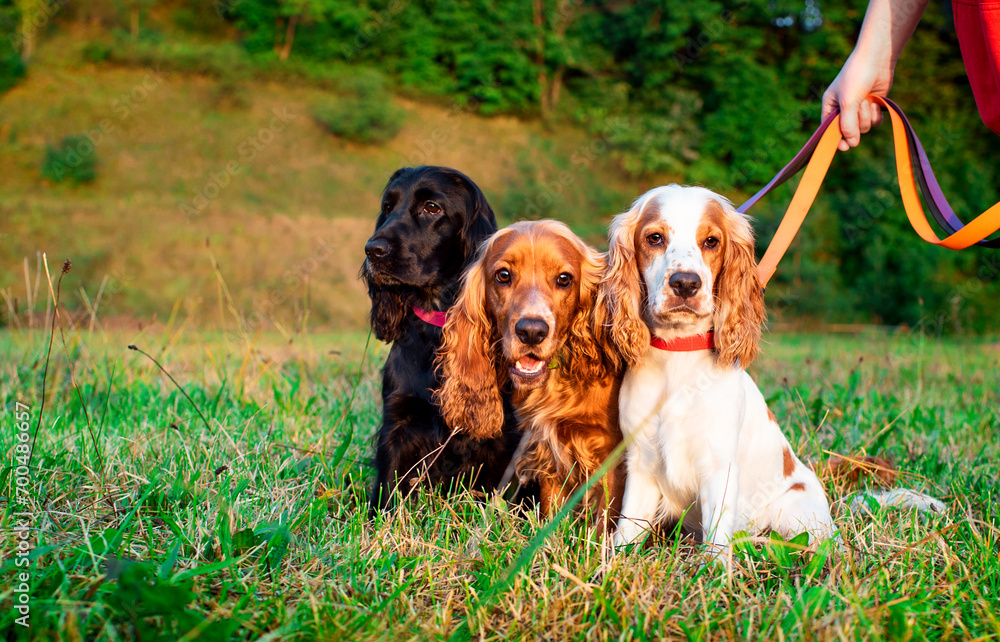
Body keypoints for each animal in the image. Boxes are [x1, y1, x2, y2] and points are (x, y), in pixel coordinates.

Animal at [364, 166, 528, 516]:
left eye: (432, 208)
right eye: (388, 207)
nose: (373, 250)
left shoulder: (501, 434)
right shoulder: (398, 422)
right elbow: (387, 489)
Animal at [600, 184, 836, 552]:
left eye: (711, 241)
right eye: (655, 238)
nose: (685, 283)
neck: (678, 355)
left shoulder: (718, 467)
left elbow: (716, 544)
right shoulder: (642, 462)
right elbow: (627, 530)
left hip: (795, 514)